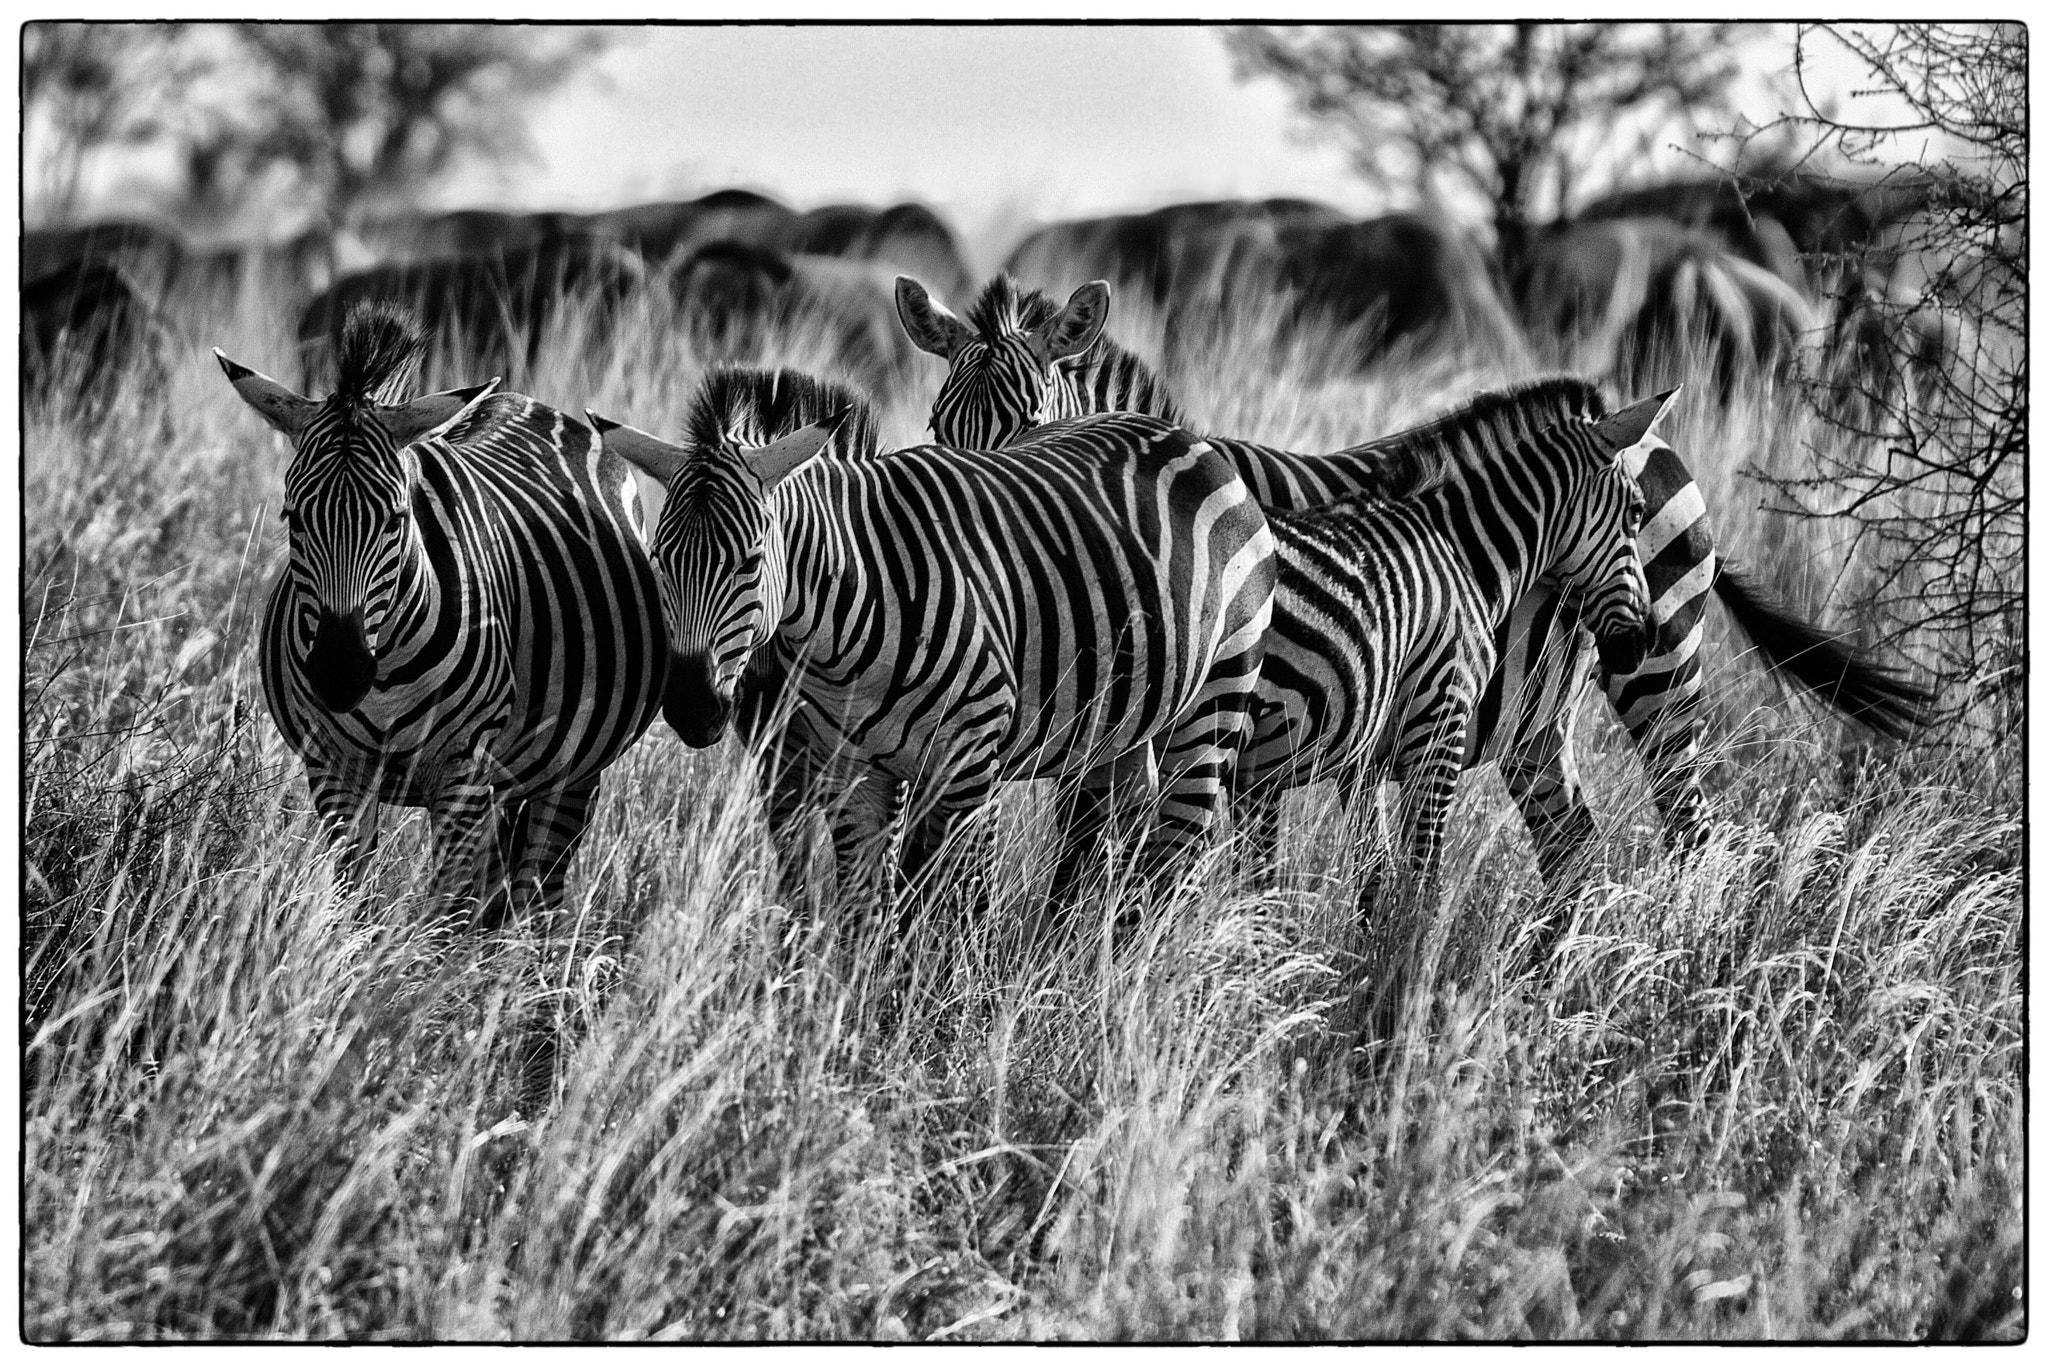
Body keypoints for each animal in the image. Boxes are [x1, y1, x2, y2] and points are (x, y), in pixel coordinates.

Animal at [217, 302, 667, 925]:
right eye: (292, 517)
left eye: (397, 517)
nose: (338, 674)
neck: (383, 674)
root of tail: (526, 401)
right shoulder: (334, 768)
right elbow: (354, 902)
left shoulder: (462, 772)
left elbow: (442, 917)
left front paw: (420, 955)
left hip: (573, 771)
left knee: (537, 893)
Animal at [585, 368, 1269, 912]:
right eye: (658, 559)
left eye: (751, 561)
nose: (693, 710)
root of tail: (1182, 437)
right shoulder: (851, 775)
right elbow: (863, 912)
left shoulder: (966, 767)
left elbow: (949, 910)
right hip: (1118, 721)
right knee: (1117, 832)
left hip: (1216, 696)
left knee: (1177, 853)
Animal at [901, 278, 1933, 892]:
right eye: (940, 425)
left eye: (1030, 421)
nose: (978, 530)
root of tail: (1635, 424)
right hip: (1537, 716)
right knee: (1571, 842)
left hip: (1658, 668)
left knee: (1691, 827)